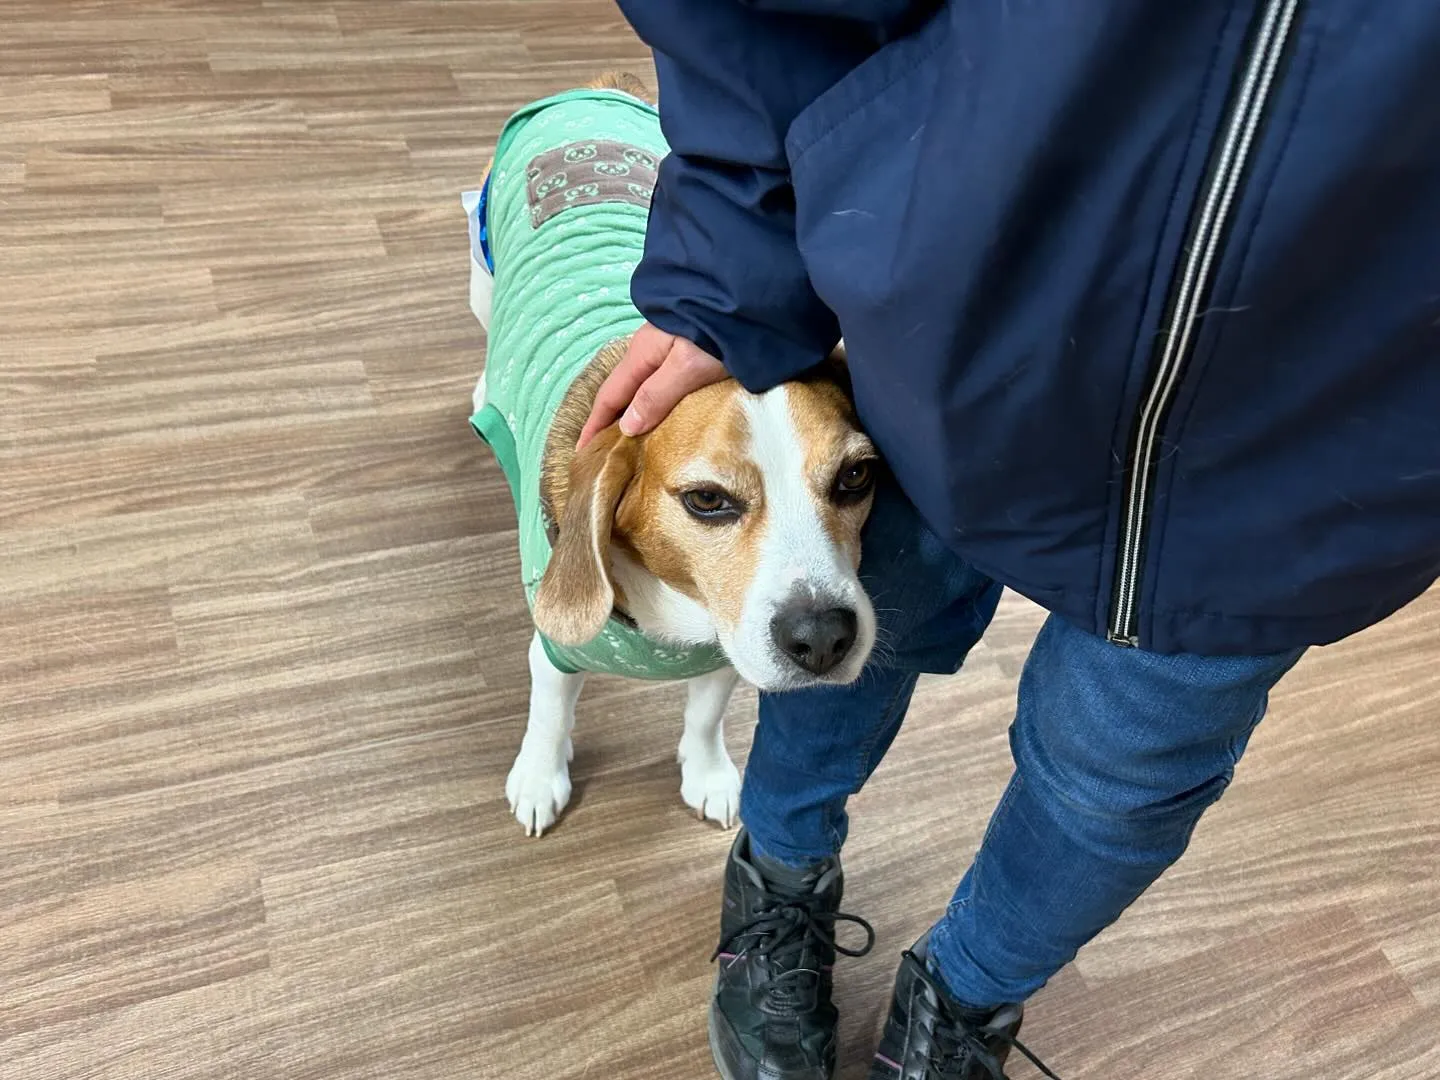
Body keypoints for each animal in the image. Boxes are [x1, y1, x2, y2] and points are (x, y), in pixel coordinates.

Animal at [469, 76, 875, 840]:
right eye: (707, 500)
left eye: (857, 477)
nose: (823, 637)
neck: (677, 622)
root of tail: (592, 89)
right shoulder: (556, 649)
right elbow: (550, 716)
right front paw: (539, 777)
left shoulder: (727, 647)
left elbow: (706, 716)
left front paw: (708, 773)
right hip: (481, 269)